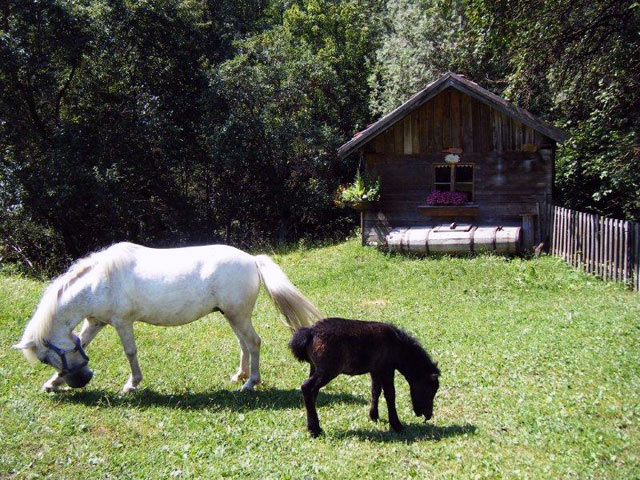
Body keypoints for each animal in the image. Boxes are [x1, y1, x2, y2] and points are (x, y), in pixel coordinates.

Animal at [13, 242, 324, 392]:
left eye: (43, 358)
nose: (85, 378)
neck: (100, 281)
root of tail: (251, 259)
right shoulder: (96, 322)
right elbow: (84, 343)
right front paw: (52, 384)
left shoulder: (122, 323)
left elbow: (130, 352)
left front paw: (132, 385)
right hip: (232, 316)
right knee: (244, 344)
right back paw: (240, 376)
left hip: (238, 316)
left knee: (254, 343)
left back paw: (251, 383)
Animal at [290, 316, 440, 436]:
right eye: (429, 389)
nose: (427, 415)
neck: (398, 346)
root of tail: (310, 333)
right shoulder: (387, 369)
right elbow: (390, 394)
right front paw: (396, 425)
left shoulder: (375, 370)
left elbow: (375, 391)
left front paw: (374, 416)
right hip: (327, 371)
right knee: (307, 387)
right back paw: (314, 430)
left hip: (314, 368)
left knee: (312, 393)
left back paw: (313, 426)